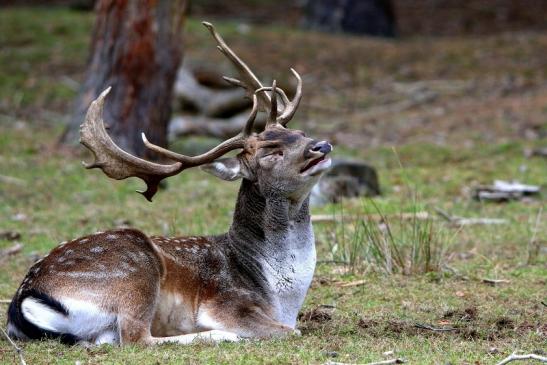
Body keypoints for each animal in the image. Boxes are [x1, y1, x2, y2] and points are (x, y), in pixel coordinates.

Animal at [7, 22, 334, 344]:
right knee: (137, 338)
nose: (321, 146)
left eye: (300, 133)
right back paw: (220, 335)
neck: (283, 298)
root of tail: (24, 298)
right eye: (272, 153)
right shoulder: (227, 302)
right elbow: (292, 331)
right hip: (134, 272)